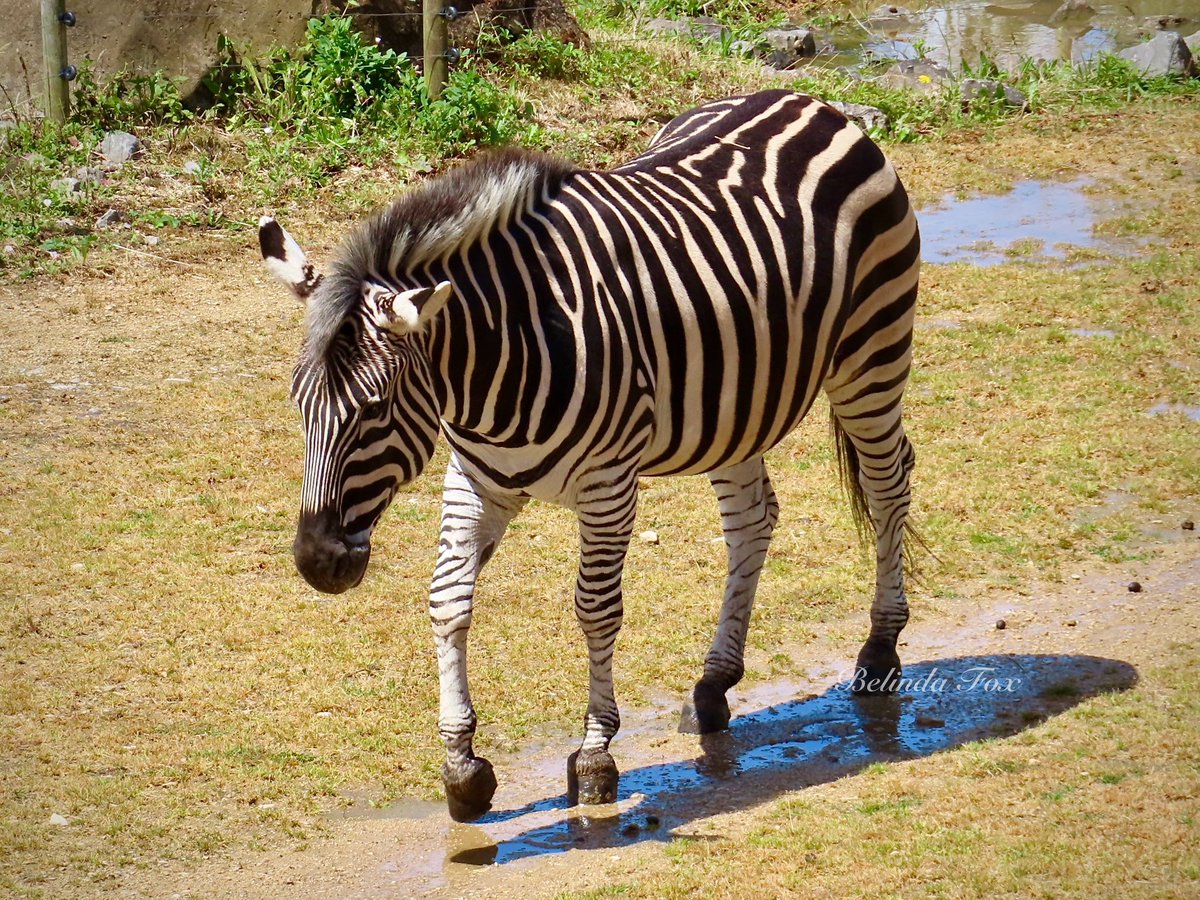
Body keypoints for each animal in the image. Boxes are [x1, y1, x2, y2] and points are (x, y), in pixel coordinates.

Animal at [258, 89, 920, 823]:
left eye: (373, 410)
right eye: (298, 404)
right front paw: (462, 765)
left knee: (889, 485)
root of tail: (810, 102)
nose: (315, 562)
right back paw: (715, 682)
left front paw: (595, 755)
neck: (497, 361)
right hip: (733, 405)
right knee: (753, 519)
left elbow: (595, 609)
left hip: (871, 356)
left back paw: (880, 650)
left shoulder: (608, 486)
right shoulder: (476, 478)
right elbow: (448, 599)